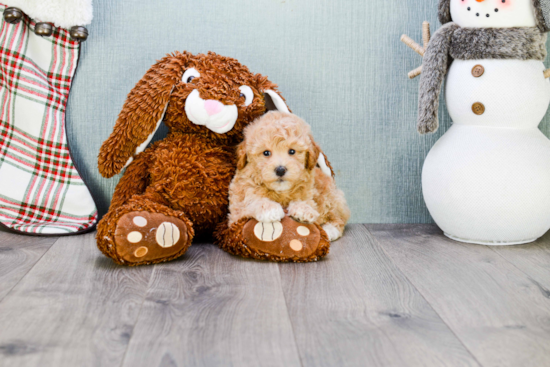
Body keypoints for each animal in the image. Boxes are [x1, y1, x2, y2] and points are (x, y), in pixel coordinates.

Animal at [227, 111, 350, 242]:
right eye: (266, 153)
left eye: (292, 151)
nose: (280, 170)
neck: (281, 192)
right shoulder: (236, 211)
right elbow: (251, 202)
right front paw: (270, 209)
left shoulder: (310, 194)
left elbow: (305, 202)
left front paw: (303, 209)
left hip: (331, 197)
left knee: (338, 218)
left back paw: (329, 231)